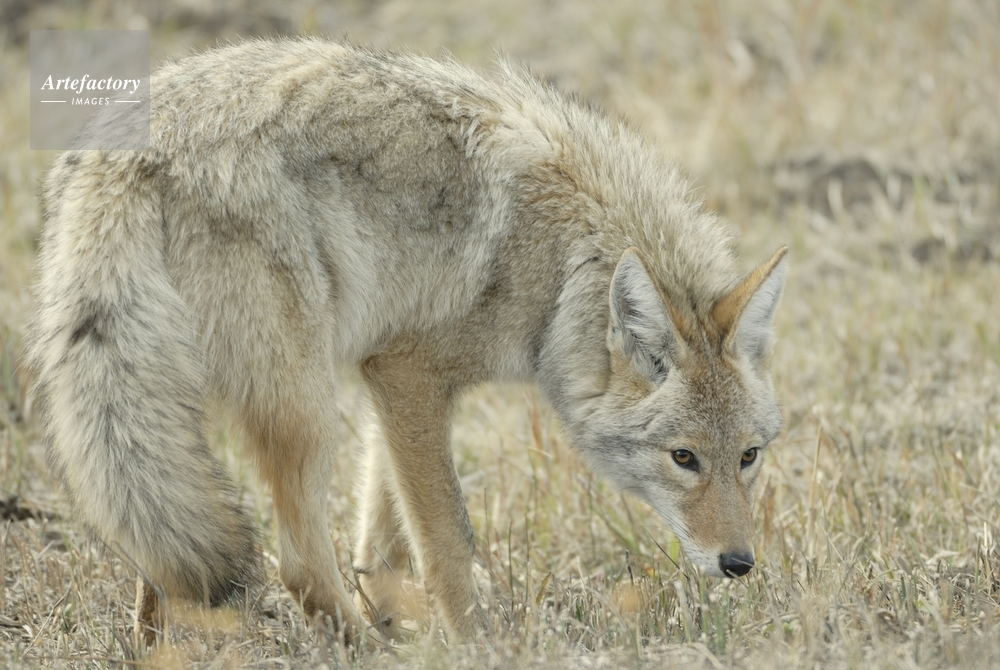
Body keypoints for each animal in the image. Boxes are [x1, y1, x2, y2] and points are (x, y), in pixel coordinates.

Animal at [27, 38, 787, 645]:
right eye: (683, 458)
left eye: (747, 457)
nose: (739, 564)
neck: (562, 265)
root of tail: (124, 154)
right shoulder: (407, 374)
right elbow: (448, 544)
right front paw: (477, 646)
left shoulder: (389, 385)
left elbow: (382, 546)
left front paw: (405, 622)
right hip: (306, 412)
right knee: (298, 566)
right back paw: (364, 651)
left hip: (168, 414)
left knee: (159, 561)